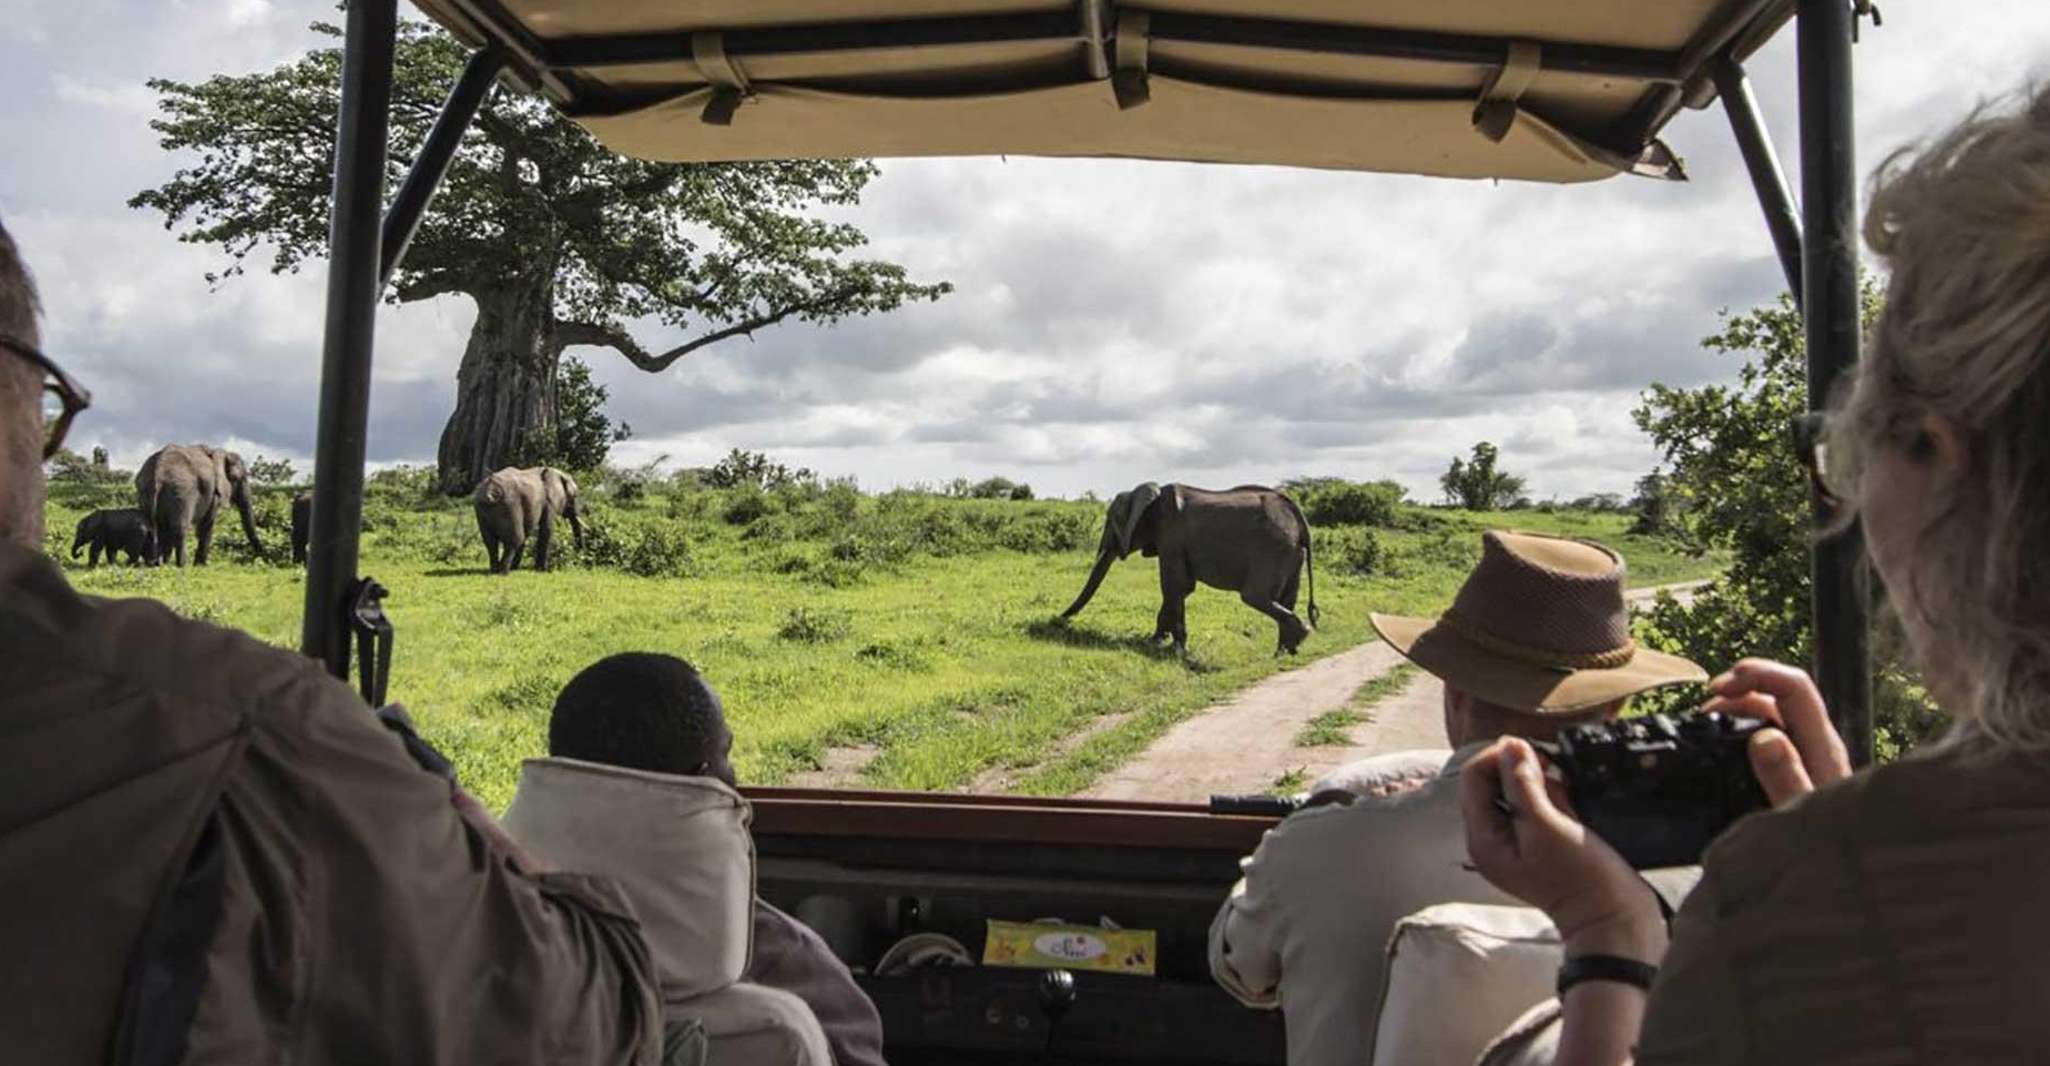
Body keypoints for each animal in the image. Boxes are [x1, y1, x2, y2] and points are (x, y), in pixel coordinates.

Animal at [136, 440, 266, 565]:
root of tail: (158, 472)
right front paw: (200, 565)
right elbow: (206, 524)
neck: (218, 453)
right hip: (182, 491)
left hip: (145, 489)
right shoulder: (213, 492)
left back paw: (159, 565)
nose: (261, 557)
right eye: (237, 478)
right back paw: (182, 565)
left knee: (158, 527)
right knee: (179, 528)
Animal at [1066, 481, 1320, 647]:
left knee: (1254, 596)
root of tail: (1299, 517)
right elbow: (1180, 589)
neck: (1149, 496)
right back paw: (1285, 651)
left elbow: (1174, 586)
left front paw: (1173, 648)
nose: (1060, 621)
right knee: (1286, 598)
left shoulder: (1171, 537)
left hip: (1272, 549)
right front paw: (1155, 642)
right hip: (1292, 553)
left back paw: (1301, 635)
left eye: (1111, 520)